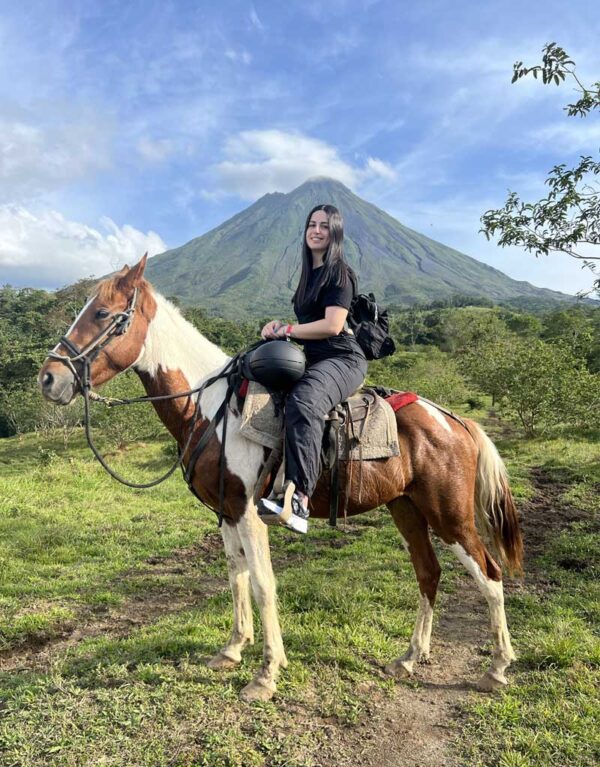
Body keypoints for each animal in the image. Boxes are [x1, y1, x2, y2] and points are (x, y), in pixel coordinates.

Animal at [39, 256, 524, 704]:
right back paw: (409, 657)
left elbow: (262, 584)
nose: (49, 378)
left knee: (489, 573)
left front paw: (267, 673)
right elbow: (235, 575)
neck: (211, 408)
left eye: (102, 313)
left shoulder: (250, 512)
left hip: (450, 516)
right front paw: (233, 649)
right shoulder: (226, 512)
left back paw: (498, 668)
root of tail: (455, 420)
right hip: (405, 507)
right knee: (428, 572)